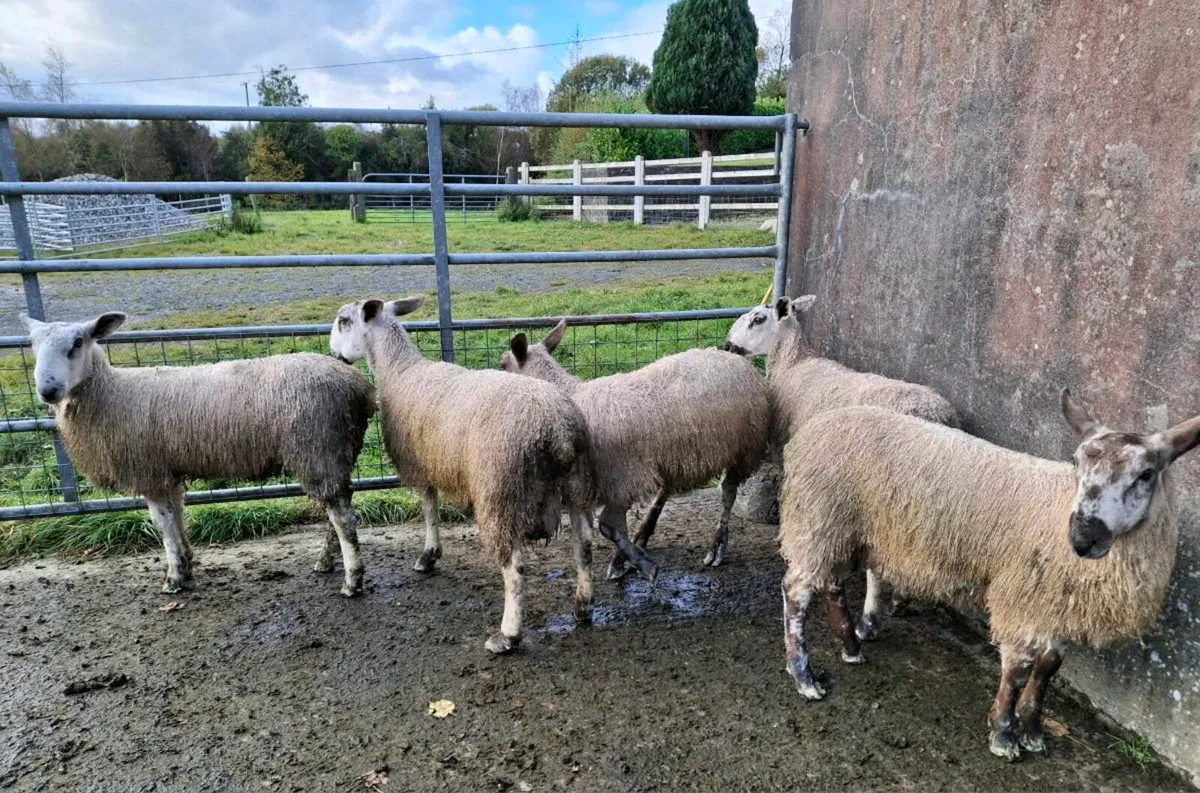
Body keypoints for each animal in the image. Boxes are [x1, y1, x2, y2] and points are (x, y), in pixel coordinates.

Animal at [20, 312, 376, 597]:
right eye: (33, 345)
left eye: (77, 342)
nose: (47, 390)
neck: (110, 394)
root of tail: (358, 387)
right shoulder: (169, 471)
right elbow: (178, 515)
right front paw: (187, 563)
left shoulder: (149, 471)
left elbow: (162, 524)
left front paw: (173, 578)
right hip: (333, 452)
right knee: (337, 509)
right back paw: (325, 561)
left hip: (317, 448)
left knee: (343, 518)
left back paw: (352, 580)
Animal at [328, 296, 656, 653]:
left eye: (343, 320)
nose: (333, 353)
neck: (399, 370)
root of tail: (559, 433)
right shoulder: (433, 460)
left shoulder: (420, 463)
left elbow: (429, 508)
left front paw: (428, 556)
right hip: (576, 485)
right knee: (583, 547)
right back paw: (582, 608)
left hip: (500, 490)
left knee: (514, 565)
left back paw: (507, 635)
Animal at [500, 319, 771, 578]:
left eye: (503, 365)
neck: (570, 395)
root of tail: (741, 361)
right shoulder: (619, 480)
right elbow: (614, 526)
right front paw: (626, 559)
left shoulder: (620, 476)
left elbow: (608, 526)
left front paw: (635, 564)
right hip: (674, 454)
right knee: (666, 488)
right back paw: (644, 534)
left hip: (744, 446)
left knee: (728, 492)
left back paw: (717, 547)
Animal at [723, 294, 960, 639]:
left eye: (757, 319)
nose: (727, 345)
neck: (793, 364)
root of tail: (933, 415)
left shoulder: (787, 453)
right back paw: (901, 600)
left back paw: (868, 622)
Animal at [777, 393, 1198, 761]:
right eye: (1076, 462)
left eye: (1145, 474)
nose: (1083, 536)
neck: (1057, 509)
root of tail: (815, 427)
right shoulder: (1019, 598)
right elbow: (1017, 671)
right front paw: (1005, 736)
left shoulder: (1057, 606)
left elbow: (1048, 669)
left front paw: (1033, 731)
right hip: (820, 516)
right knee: (797, 591)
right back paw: (804, 676)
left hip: (846, 528)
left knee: (831, 583)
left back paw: (850, 646)